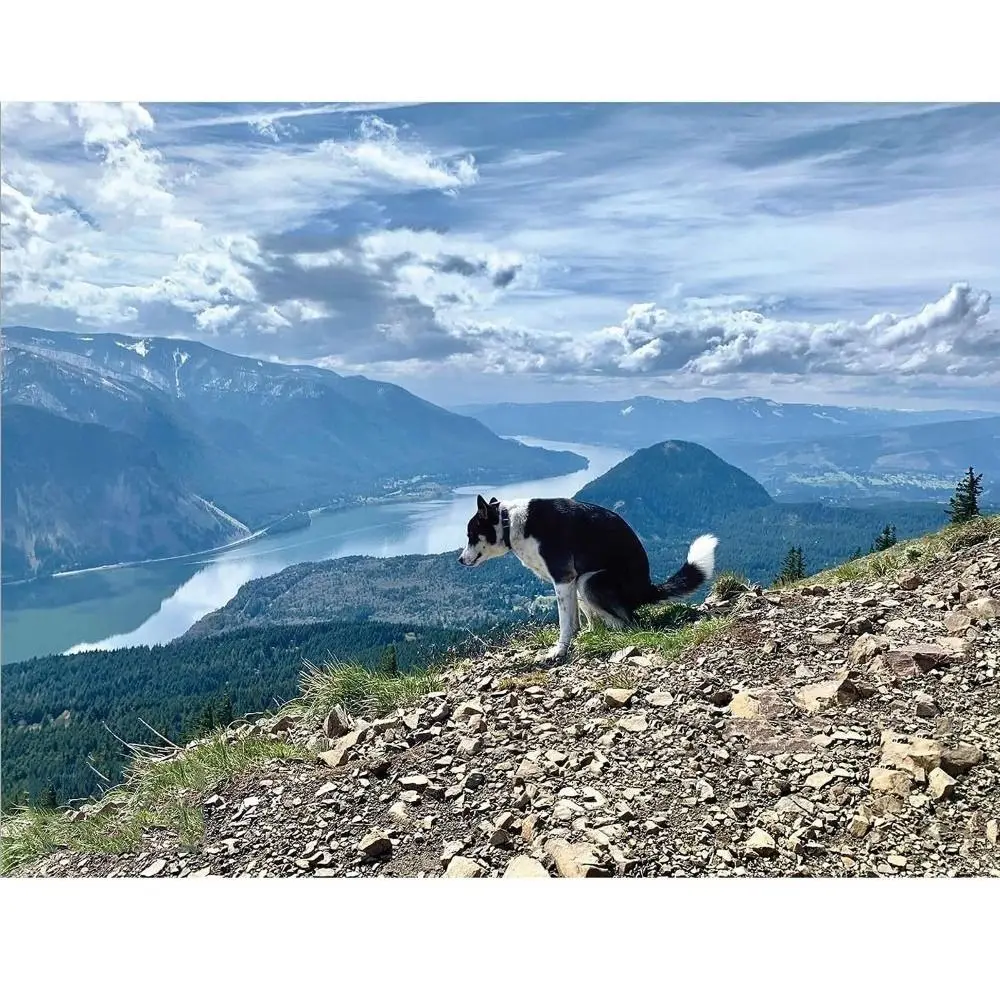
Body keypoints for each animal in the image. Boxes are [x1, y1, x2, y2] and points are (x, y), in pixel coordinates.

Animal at [460, 494, 720, 664]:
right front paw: (581, 636)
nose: (460, 560)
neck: (509, 522)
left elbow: (565, 623)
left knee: (628, 623)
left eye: (471, 535)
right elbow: (575, 620)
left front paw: (559, 651)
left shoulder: (563, 578)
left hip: (588, 582)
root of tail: (647, 589)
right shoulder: (568, 582)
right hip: (581, 583)